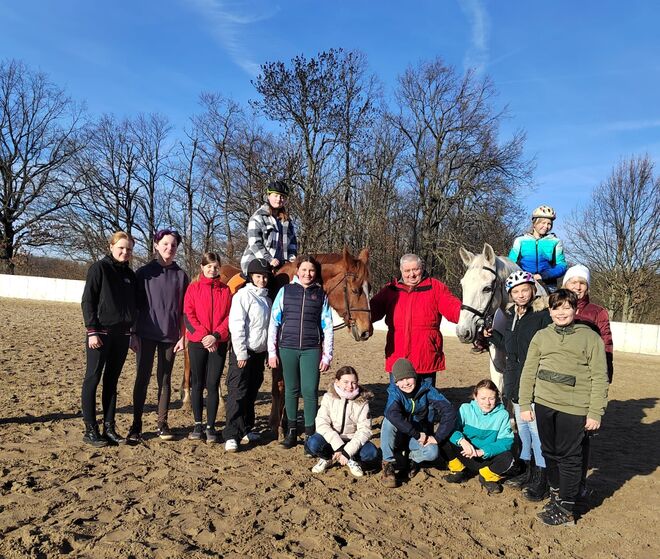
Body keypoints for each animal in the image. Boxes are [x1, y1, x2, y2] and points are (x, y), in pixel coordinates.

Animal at [183, 248, 374, 438]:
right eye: (355, 290)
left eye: (369, 288)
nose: (367, 331)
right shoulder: (277, 354)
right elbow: (280, 387)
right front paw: (278, 425)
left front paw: (285, 423)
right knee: (189, 364)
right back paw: (187, 400)